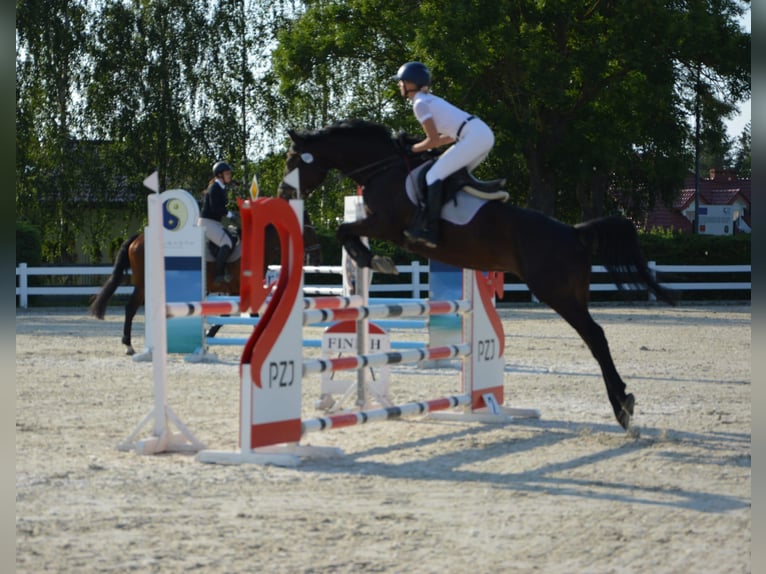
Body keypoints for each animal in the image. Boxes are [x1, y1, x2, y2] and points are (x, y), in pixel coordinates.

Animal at [89, 221, 322, 355]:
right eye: (310, 233)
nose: (315, 258)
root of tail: (137, 238)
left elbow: (227, 316)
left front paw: (208, 335)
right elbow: (248, 315)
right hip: (144, 284)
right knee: (131, 308)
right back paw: (128, 345)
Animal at [277, 119, 676, 431]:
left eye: (293, 159)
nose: (283, 193)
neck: (384, 167)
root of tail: (574, 232)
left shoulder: (385, 224)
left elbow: (345, 230)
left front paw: (374, 260)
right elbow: (347, 231)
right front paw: (373, 260)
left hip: (557, 293)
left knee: (595, 336)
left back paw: (622, 405)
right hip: (572, 293)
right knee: (596, 336)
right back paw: (622, 402)